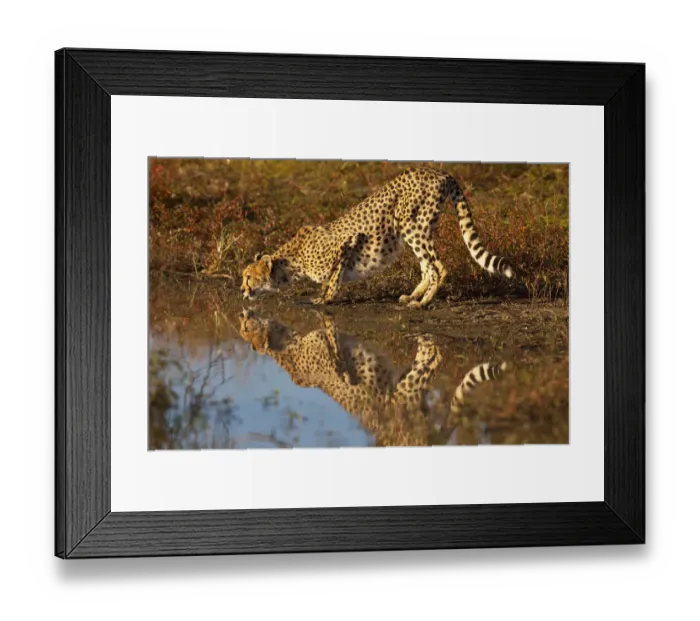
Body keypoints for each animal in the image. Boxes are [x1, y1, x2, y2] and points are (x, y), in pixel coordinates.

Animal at [241, 167, 514, 308]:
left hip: (410, 225)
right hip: (416, 228)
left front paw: (325, 298)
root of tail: (438, 171)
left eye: (248, 277)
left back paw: (422, 302)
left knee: (438, 267)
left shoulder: (348, 243)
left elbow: (333, 278)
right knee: (427, 266)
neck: (291, 263)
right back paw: (412, 296)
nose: (242, 290)